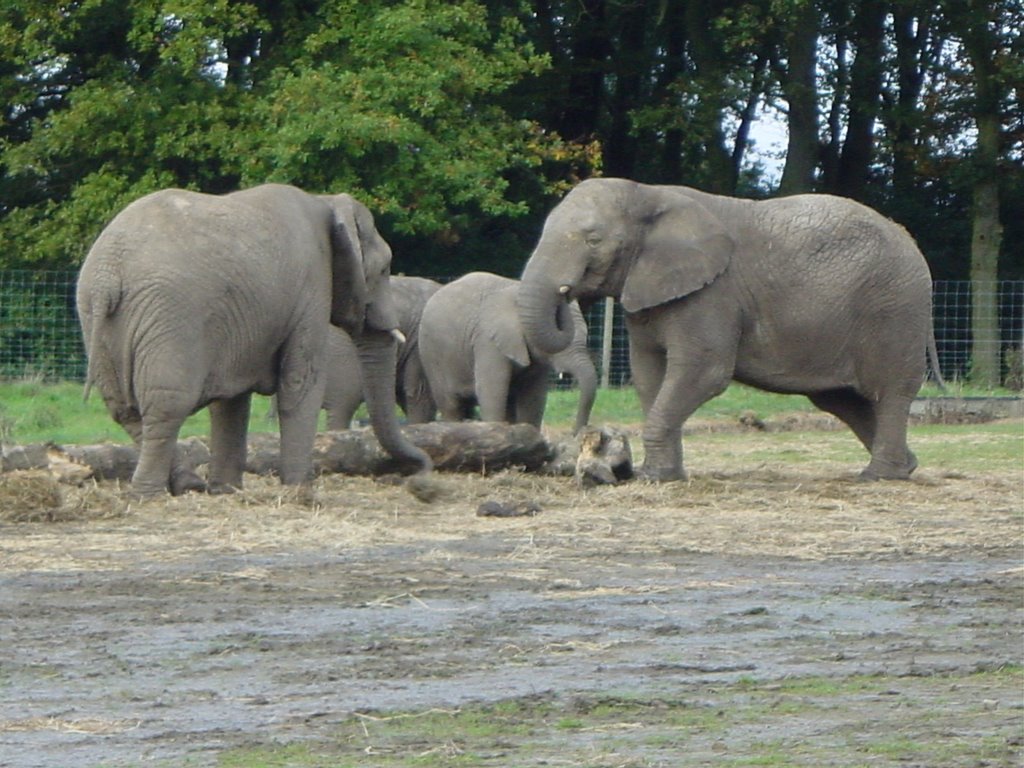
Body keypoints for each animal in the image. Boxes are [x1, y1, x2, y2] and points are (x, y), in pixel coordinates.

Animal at [76, 185, 432, 499]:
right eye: (384, 269)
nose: (421, 472)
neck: (327, 201)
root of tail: (108, 272)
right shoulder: (311, 287)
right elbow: (301, 383)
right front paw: (301, 492)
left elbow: (231, 401)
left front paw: (227, 491)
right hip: (167, 314)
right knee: (166, 405)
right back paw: (149, 495)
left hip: (97, 317)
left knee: (124, 410)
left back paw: (188, 485)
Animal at [417, 274, 598, 436]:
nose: (575, 433)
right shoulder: (487, 342)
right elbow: (492, 392)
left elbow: (533, 397)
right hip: (431, 356)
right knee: (451, 406)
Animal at [516, 177, 937, 483]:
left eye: (593, 239)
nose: (567, 293)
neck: (648, 193)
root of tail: (910, 239)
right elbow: (649, 375)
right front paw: (664, 476)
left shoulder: (713, 294)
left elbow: (704, 372)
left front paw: (653, 478)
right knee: (841, 400)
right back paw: (907, 466)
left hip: (895, 307)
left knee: (889, 392)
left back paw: (879, 477)